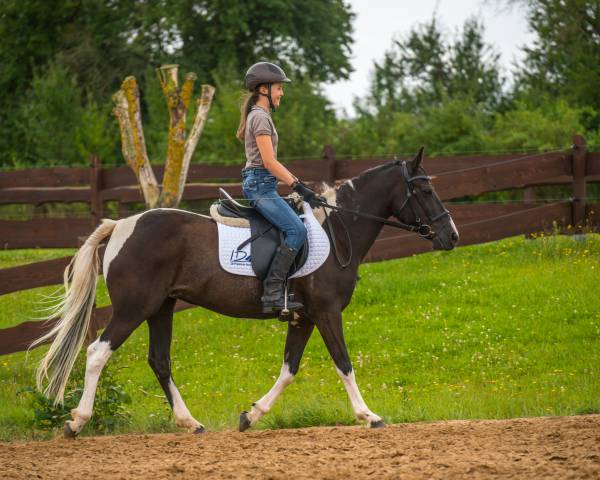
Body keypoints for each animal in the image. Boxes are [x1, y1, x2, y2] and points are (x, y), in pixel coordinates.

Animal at [34, 148, 460, 436]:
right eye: (424, 190)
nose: (452, 236)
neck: (337, 231)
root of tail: (122, 225)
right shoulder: (326, 312)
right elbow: (344, 363)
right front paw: (369, 416)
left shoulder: (303, 317)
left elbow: (289, 370)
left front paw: (250, 415)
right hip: (134, 308)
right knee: (97, 353)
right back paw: (77, 422)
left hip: (161, 307)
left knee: (159, 361)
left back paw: (190, 422)